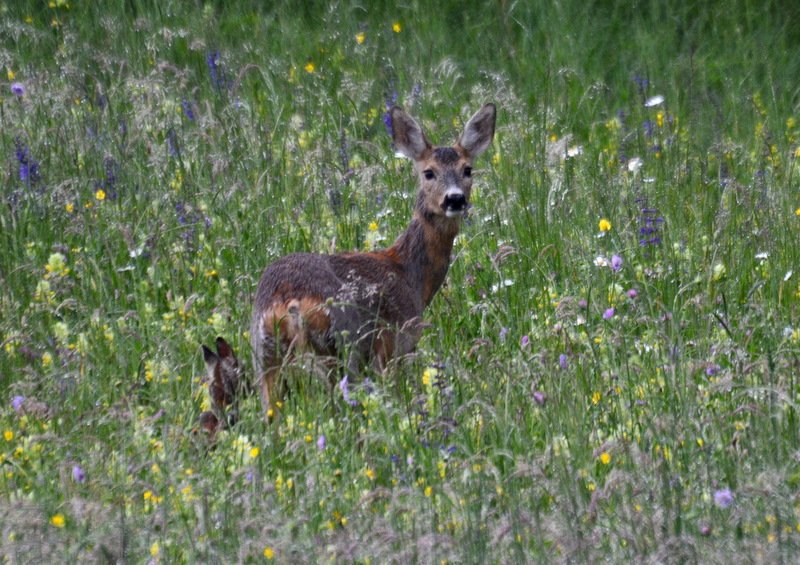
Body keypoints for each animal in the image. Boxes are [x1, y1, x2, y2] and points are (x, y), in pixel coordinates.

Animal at [198, 102, 494, 432]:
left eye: (467, 170)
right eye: (428, 172)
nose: (455, 199)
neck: (410, 274)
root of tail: (288, 302)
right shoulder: (394, 344)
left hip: (266, 356)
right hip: (343, 346)